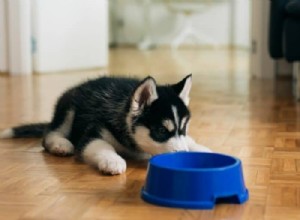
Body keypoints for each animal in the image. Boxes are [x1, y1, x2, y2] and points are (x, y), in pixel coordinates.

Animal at [0, 75, 211, 174]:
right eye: (160, 130)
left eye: (183, 129)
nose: (183, 155)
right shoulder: (93, 132)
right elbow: (101, 146)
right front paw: (113, 160)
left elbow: (190, 141)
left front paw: (202, 149)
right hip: (69, 107)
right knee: (50, 134)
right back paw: (60, 144)